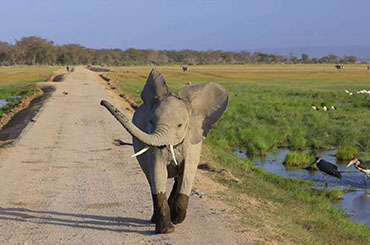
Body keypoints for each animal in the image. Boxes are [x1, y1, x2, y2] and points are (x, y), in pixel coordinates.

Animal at [101, 69, 228, 234]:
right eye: (151, 122)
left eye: (180, 125)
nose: (102, 102)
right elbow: (158, 173)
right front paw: (166, 230)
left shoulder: (192, 143)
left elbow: (188, 174)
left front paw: (177, 219)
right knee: (151, 180)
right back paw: (157, 218)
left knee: (179, 179)